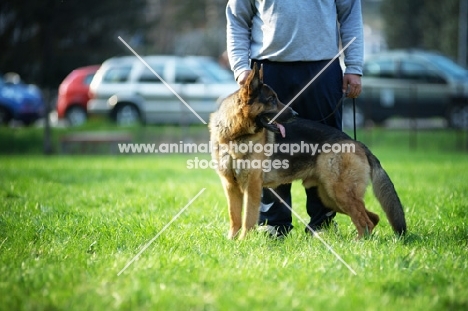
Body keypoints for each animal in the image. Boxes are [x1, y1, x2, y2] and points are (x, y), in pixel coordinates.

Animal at [208, 64, 406, 240]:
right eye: (272, 100)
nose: (295, 114)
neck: (234, 135)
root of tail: (356, 142)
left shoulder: (252, 187)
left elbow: (248, 219)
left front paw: (243, 242)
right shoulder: (230, 186)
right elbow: (235, 218)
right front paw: (232, 241)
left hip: (340, 193)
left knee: (365, 220)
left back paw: (358, 243)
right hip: (330, 197)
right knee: (373, 217)